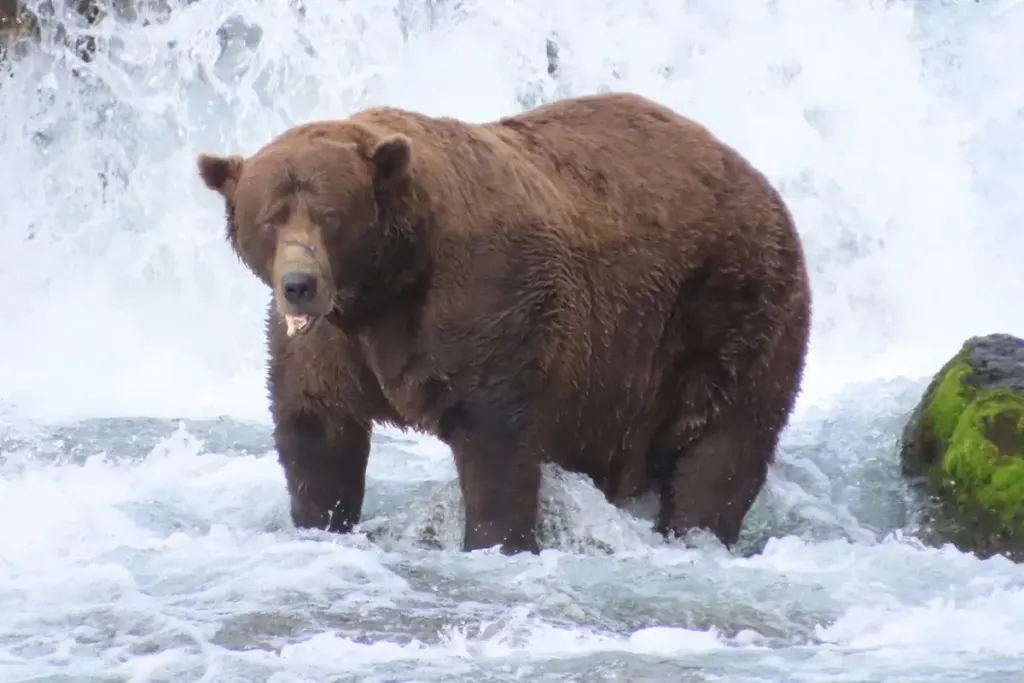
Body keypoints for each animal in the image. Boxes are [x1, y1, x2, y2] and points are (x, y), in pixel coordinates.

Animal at [196, 91, 812, 555]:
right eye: (270, 217)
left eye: (330, 215)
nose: (299, 283)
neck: (385, 287)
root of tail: (758, 180)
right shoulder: (329, 345)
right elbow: (317, 430)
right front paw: (321, 520)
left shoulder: (484, 302)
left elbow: (494, 439)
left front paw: (496, 540)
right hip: (619, 378)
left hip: (728, 306)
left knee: (724, 444)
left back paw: (696, 531)